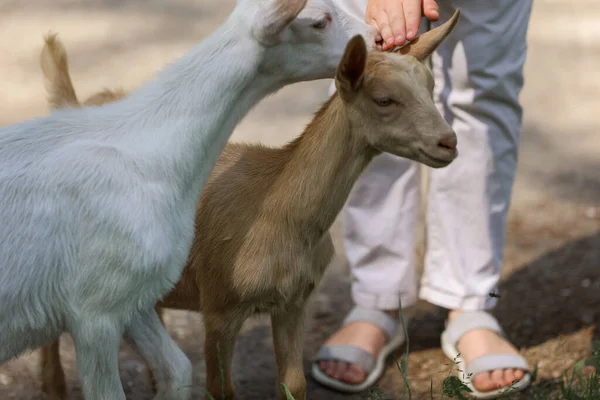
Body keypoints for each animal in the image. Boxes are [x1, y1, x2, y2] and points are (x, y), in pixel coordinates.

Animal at [37, 10, 460, 400]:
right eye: (384, 99)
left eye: (431, 87)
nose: (448, 142)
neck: (277, 212)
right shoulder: (219, 308)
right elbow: (222, 389)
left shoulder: (294, 302)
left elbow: (294, 385)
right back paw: (53, 387)